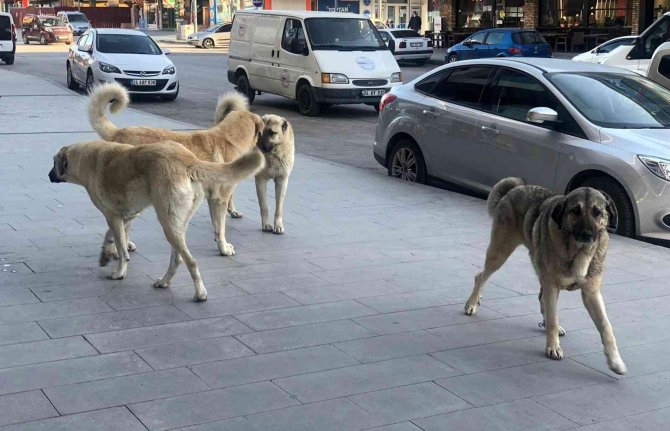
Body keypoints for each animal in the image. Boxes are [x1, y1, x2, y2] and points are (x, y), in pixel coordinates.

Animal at [48, 140, 266, 302]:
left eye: (53, 163)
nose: (49, 176)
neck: (83, 158)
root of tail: (189, 159)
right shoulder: (126, 215)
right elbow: (115, 237)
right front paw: (106, 254)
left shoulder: (113, 216)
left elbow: (122, 248)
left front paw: (119, 271)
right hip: (176, 224)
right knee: (177, 259)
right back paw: (164, 282)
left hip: (167, 222)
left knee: (191, 261)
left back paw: (200, 293)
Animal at [88, 82, 266, 256]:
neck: (228, 138)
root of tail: (118, 133)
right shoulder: (220, 198)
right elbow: (221, 228)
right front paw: (224, 248)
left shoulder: (212, 198)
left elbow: (216, 225)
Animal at [464, 177, 628, 376]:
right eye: (575, 210)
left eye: (596, 212)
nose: (587, 235)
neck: (578, 252)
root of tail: (515, 188)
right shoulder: (552, 286)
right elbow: (552, 318)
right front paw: (553, 347)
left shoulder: (591, 293)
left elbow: (606, 327)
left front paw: (615, 361)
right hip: (500, 251)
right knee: (481, 276)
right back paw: (472, 303)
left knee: (541, 298)